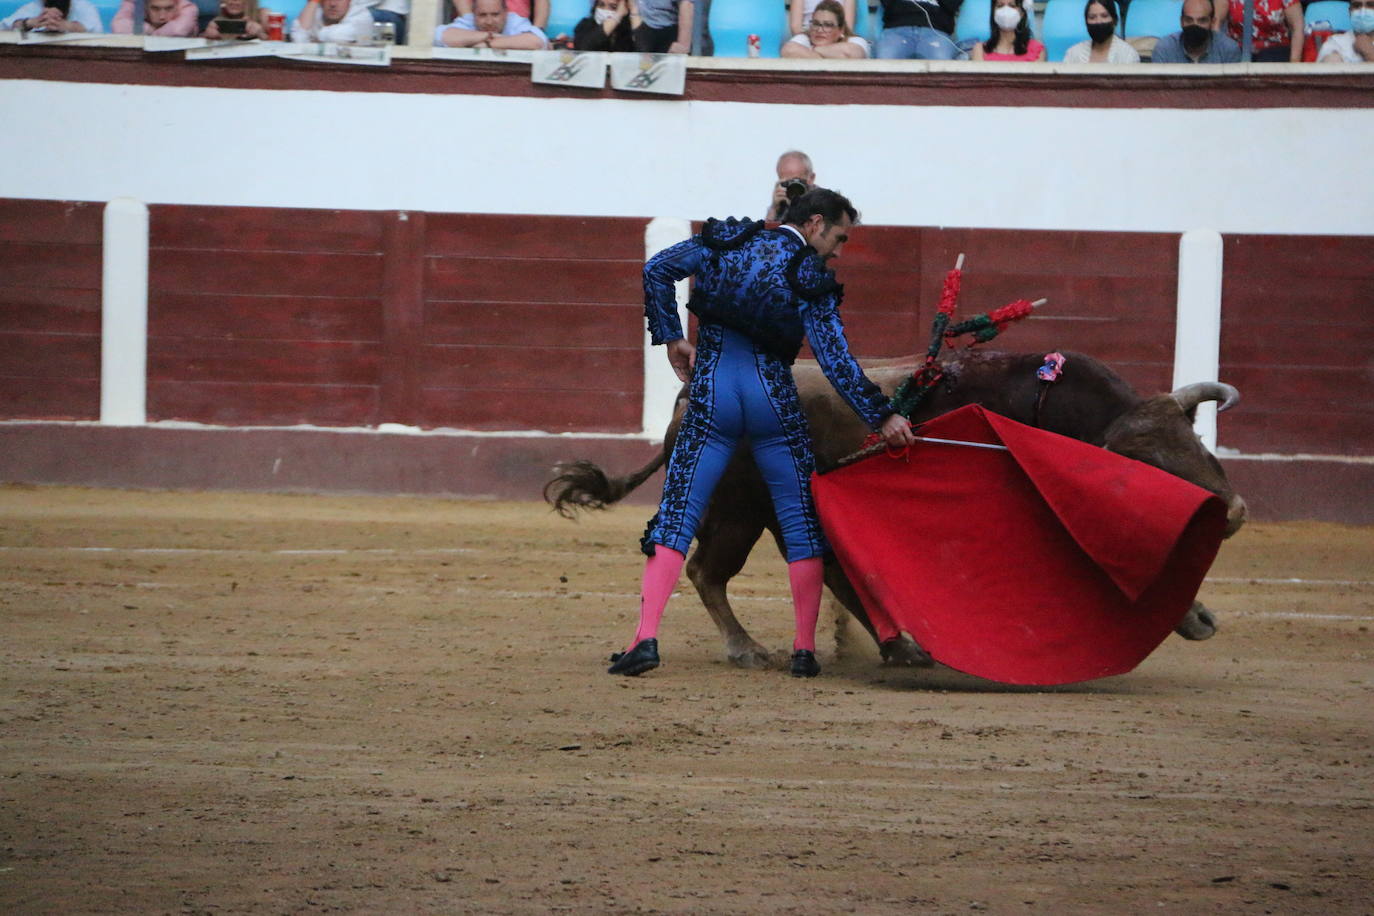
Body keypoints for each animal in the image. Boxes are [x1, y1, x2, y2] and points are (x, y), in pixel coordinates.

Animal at [546, 347, 1247, 670]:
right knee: (707, 571)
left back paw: (898, 648)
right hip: (738, 509)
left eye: (1195, 442)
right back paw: (751, 650)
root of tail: (690, 394)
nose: (1234, 509)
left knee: (817, 569)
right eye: (1149, 464)